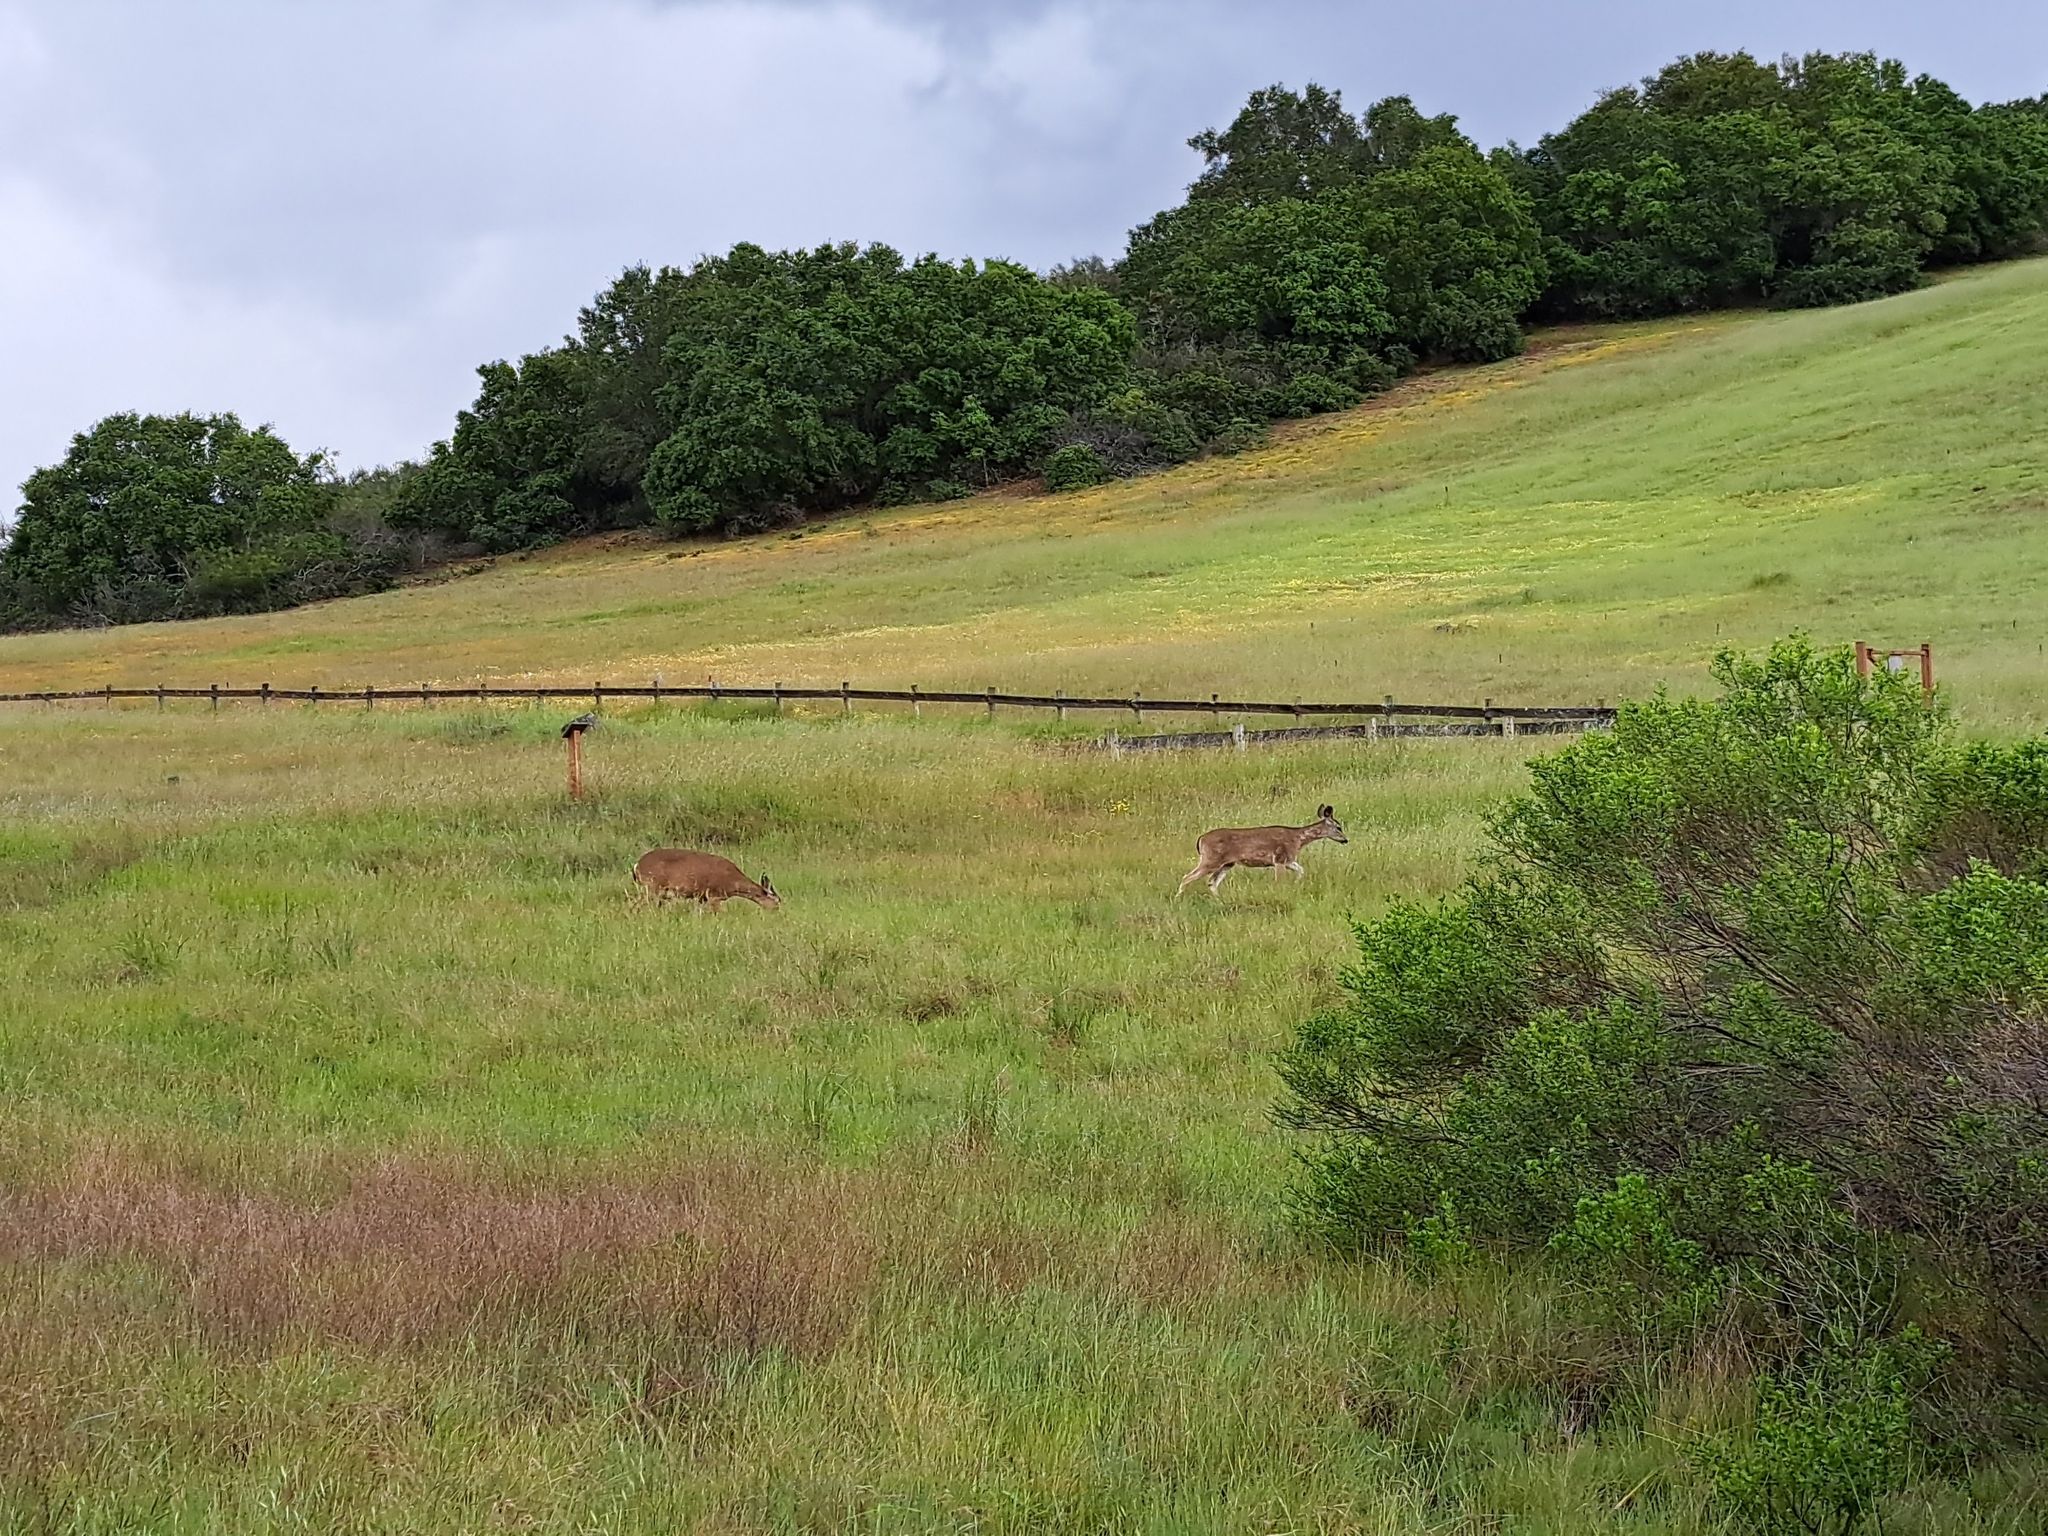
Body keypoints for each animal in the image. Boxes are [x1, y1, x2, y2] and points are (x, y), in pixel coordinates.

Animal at [632, 849, 781, 913]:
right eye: (777, 901)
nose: (777, 912)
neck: (733, 883)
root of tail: (637, 865)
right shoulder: (714, 895)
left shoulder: (702, 897)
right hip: (652, 887)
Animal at [1175, 805, 1347, 897]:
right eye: (1339, 827)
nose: (1346, 840)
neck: (1298, 839)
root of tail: (1201, 839)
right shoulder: (1279, 858)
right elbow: (1279, 881)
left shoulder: (1289, 860)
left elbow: (1301, 870)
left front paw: (1297, 885)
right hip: (1211, 859)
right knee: (1187, 877)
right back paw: (1178, 898)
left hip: (1227, 863)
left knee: (1211, 882)